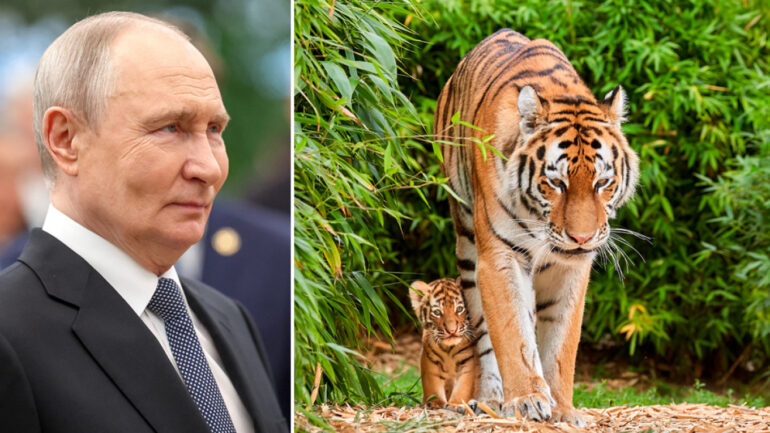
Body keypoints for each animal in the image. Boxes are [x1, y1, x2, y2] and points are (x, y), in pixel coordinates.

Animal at [409, 278, 478, 411]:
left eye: (459, 309)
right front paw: (435, 404)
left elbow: (464, 387)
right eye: (437, 312)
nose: (452, 331)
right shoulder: (430, 361)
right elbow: (433, 385)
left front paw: (456, 404)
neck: (448, 349)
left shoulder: (469, 362)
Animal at [434, 29, 639, 426]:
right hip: (467, 245)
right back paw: (492, 399)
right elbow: (512, 335)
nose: (581, 237)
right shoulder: (500, 258)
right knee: (485, 336)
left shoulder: (572, 269)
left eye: (602, 183)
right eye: (556, 183)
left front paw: (562, 409)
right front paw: (527, 400)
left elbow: (561, 344)